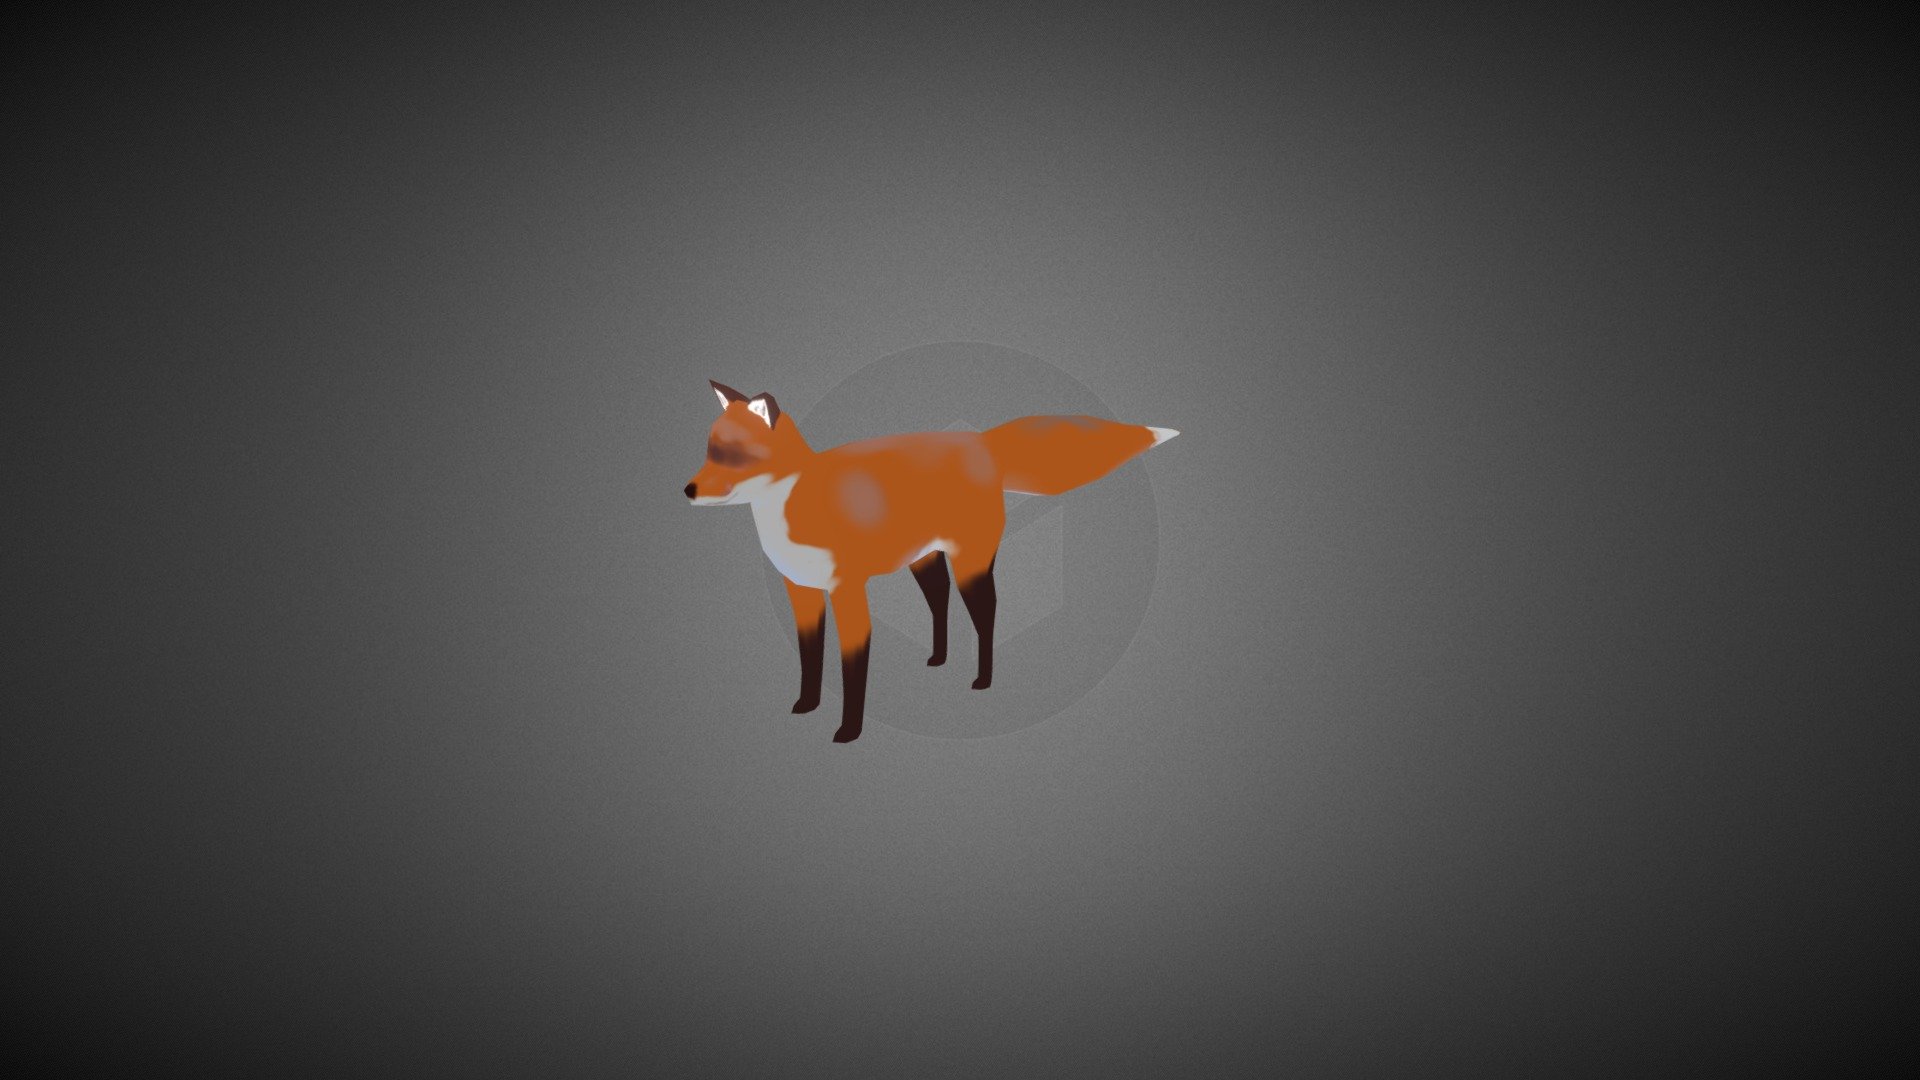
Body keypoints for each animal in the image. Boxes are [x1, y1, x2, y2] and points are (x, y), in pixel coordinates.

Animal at [685, 380, 1178, 742]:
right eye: (709, 451)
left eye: (732, 456)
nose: (687, 490)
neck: (791, 505)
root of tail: (978, 439)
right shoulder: (802, 592)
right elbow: (810, 661)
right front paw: (806, 705)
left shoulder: (847, 592)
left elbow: (851, 670)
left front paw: (848, 731)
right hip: (924, 563)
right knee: (940, 603)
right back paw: (939, 658)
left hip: (970, 566)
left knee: (986, 615)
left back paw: (983, 679)